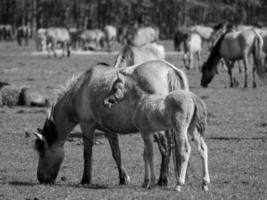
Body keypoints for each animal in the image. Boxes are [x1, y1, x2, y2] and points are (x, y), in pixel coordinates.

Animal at [32, 59, 189, 186]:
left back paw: (162, 180)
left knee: (165, 148)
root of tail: (169, 69)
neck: (80, 89)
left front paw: (85, 179)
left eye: (42, 152)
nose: (41, 179)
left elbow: (87, 153)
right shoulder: (109, 130)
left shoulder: (86, 126)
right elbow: (116, 154)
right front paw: (123, 178)